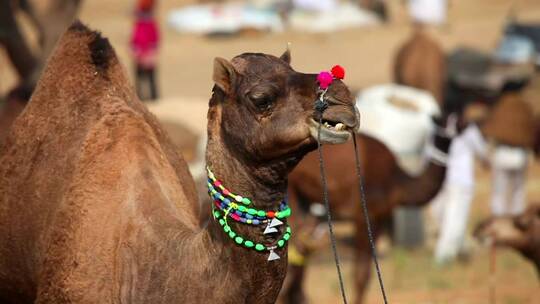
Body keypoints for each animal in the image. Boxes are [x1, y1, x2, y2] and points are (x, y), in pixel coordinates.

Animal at [280, 117, 454, 304]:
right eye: (441, 121)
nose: (448, 132)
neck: (396, 179)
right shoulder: (363, 215)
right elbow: (360, 274)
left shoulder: (380, 218)